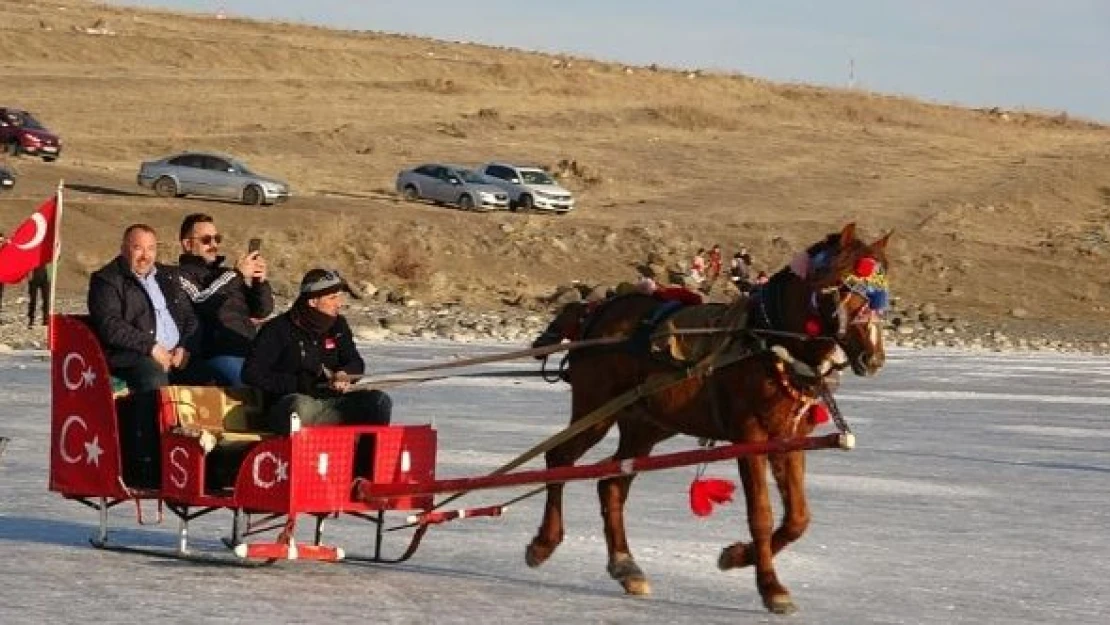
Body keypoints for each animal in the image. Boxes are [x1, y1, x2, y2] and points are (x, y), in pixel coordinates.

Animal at [521, 222, 892, 612]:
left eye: (882, 296)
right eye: (842, 288)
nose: (873, 357)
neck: (768, 342)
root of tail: (594, 314)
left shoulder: (790, 439)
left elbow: (798, 519)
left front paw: (736, 556)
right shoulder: (749, 438)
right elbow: (761, 515)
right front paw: (770, 586)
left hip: (646, 425)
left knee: (611, 482)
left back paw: (626, 566)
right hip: (595, 411)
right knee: (559, 459)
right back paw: (544, 543)